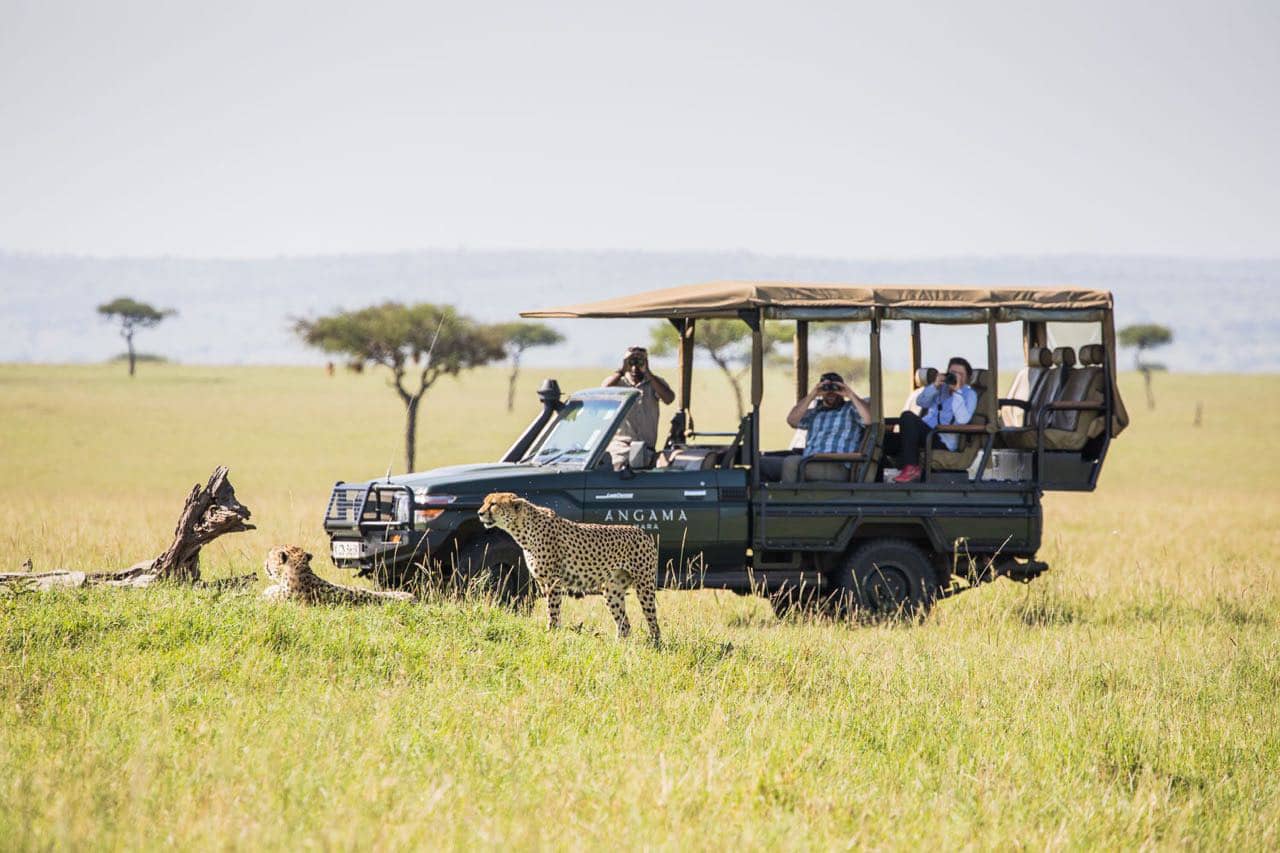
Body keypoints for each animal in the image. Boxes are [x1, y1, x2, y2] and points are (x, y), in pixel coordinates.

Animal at [478, 489, 660, 640]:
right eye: (484, 502)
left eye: (493, 504)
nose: (479, 513)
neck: (523, 529)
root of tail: (641, 532)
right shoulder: (542, 582)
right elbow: (550, 608)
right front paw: (554, 632)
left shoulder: (553, 581)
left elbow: (553, 609)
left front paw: (551, 632)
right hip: (612, 590)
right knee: (624, 625)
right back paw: (619, 647)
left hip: (644, 586)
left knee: (653, 621)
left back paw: (655, 645)